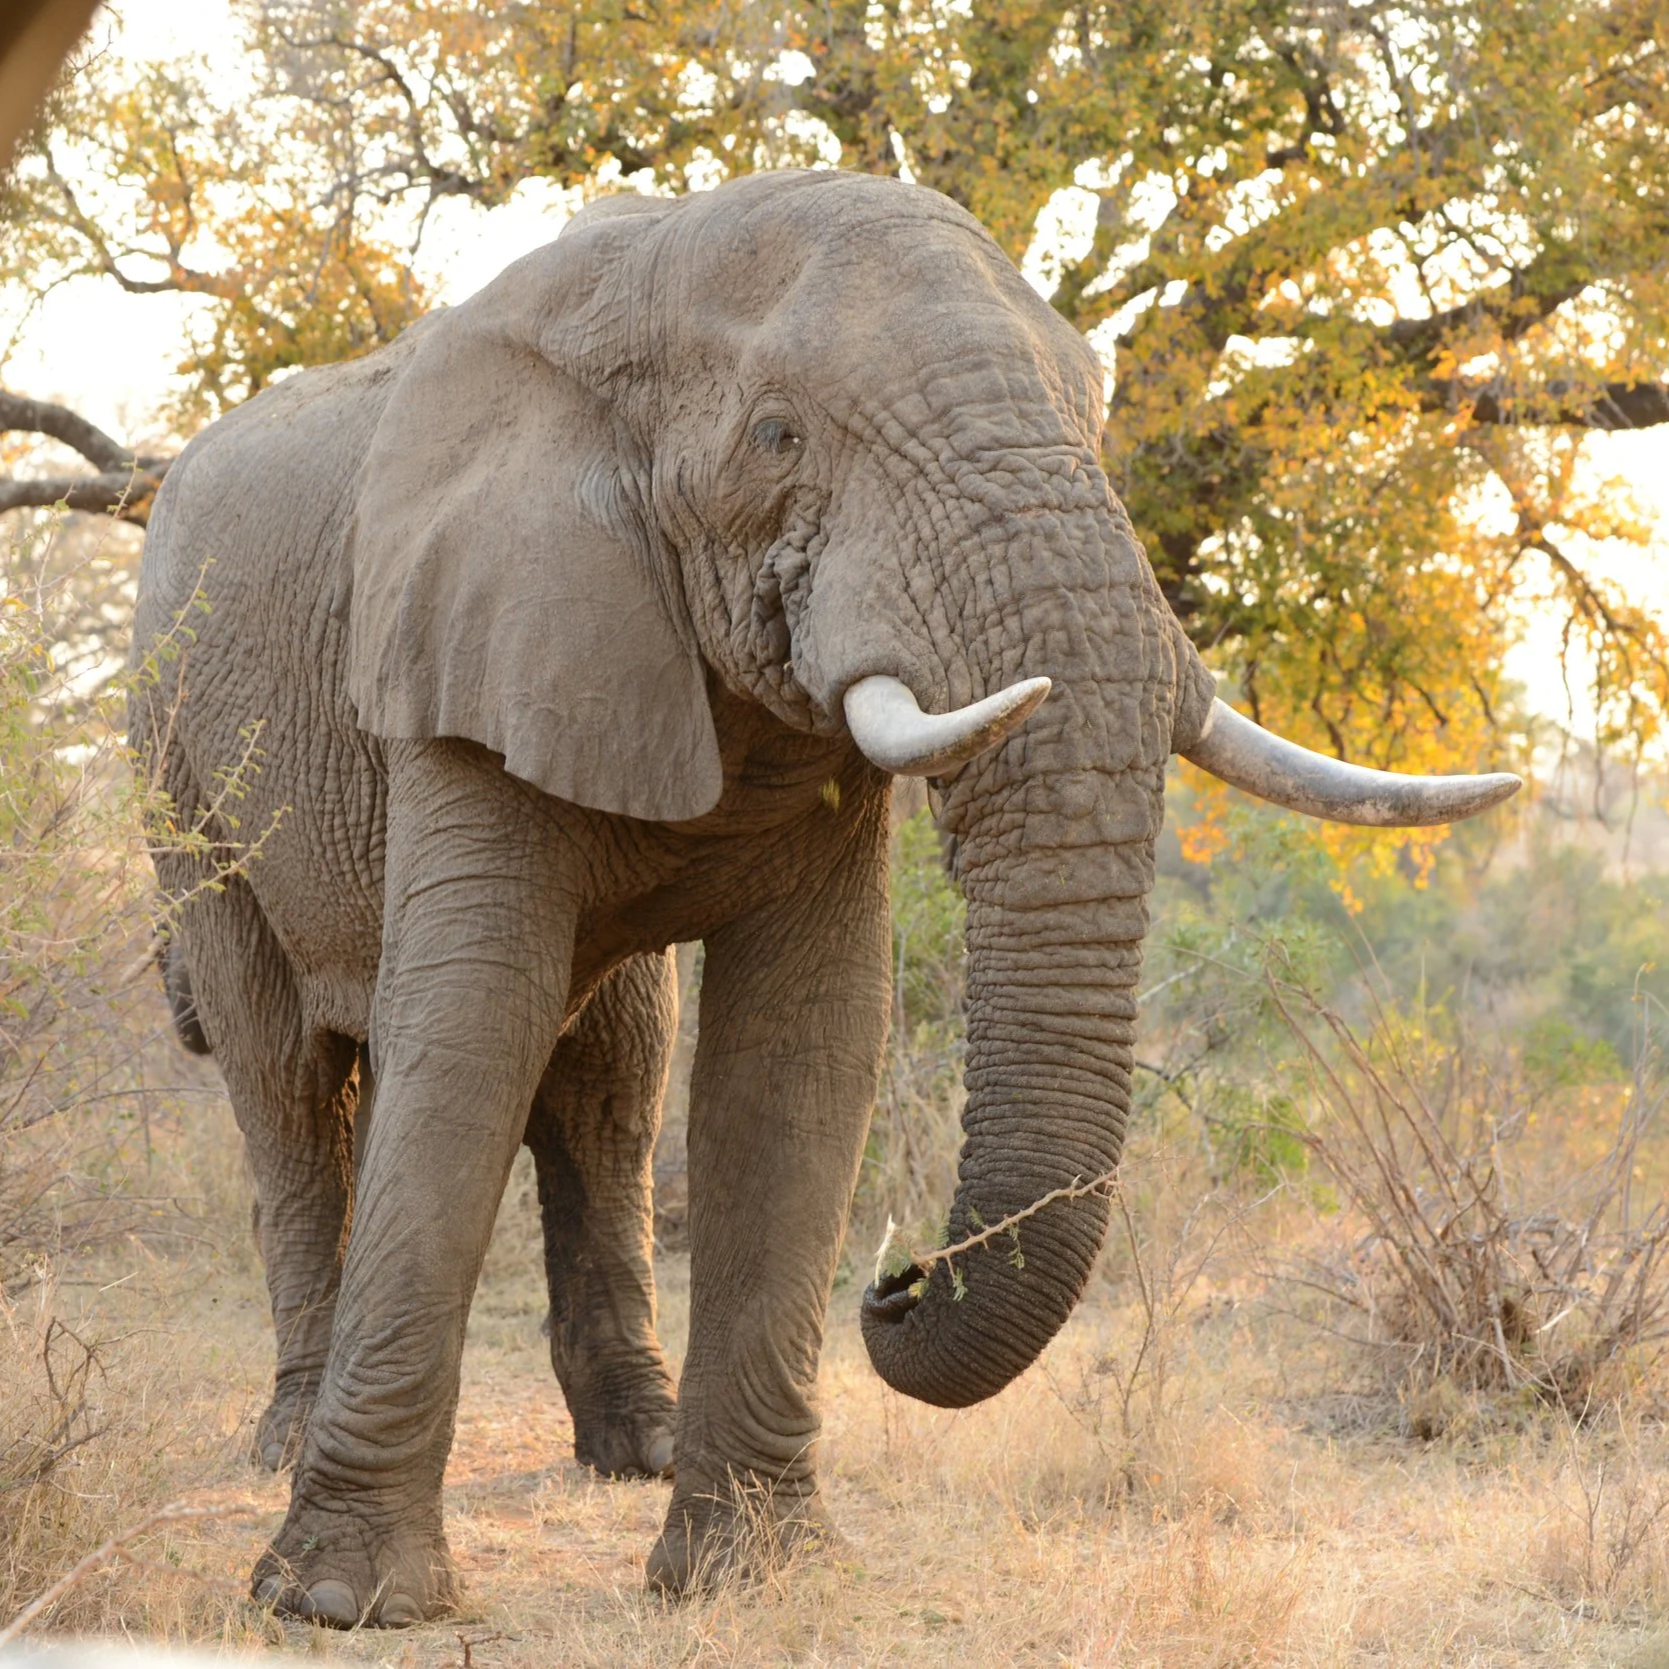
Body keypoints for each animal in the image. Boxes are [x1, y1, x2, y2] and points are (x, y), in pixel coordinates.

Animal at [128, 169, 1518, 1625]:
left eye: (1096, 420)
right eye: (777, 436)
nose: (898, 1282)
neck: (648, 274)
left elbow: (797, 1051)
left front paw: (750, 1572)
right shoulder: (471, 637)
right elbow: (469, 1030)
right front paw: (338, 1602)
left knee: (611, 1072)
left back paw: (635, 1448)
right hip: (174, 765)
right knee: (289, 1081)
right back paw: (289, 1434)